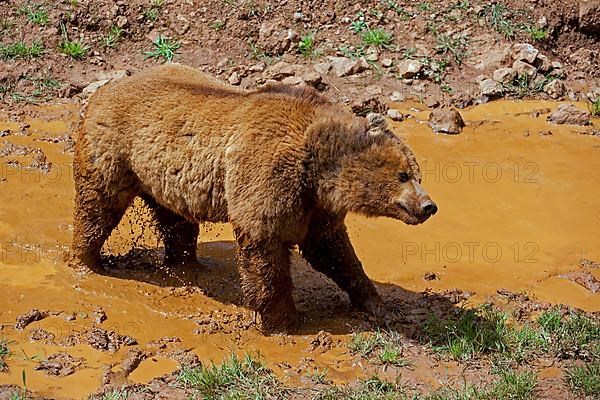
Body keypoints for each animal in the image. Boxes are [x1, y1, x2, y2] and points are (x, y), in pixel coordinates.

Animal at [72, 63, 438, 332]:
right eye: (403, 175)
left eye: (417, 173)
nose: (428, 206)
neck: (316, 166)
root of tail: (105, 89)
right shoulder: (270, 176)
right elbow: (265, 248)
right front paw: (283, 322)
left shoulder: (314, 205)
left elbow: (333, 251)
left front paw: (377, 303)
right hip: (115, 152)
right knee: (97, 207)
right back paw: (87, 260)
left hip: (163, 176)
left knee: (177, 222)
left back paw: (187, 264)